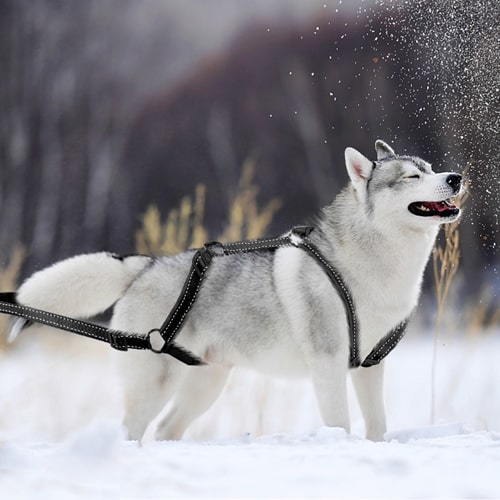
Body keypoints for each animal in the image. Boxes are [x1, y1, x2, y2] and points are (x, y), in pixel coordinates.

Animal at [14, 141, 460, 442]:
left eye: (431, 167)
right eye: (412, 177)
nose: (455, 178)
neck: (372, 268)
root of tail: (145, 264)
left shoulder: (369, 365)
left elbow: (377, 424)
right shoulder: (328, 364)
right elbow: (340, 422)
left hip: (207, 382)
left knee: (165, 429)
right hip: (153, 385)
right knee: (133, 430)